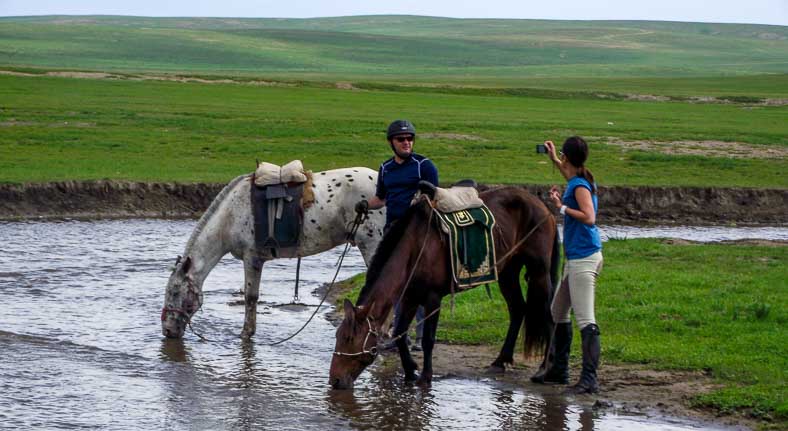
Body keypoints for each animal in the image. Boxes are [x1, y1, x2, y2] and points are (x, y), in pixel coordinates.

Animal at [161, 167, 384, 340]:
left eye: (174, 292)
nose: (167, 331)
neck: (230, 217)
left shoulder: (252, 258)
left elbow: (251, 297)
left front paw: (246, 333)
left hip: (371, 244)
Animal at [330, 184, 556, 390]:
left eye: (349, 338)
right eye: (337, 336)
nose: (335, 380)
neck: (415, 246)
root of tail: (541, 205)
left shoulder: (432, 298)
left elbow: (428, 340)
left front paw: (425, 376)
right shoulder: (410, 297)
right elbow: (400, 333)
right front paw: (410, 370)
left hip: (539, 271)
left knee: (548, 314)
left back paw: (544, 370)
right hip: (508, 272)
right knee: (517, 309)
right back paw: (501, 360)